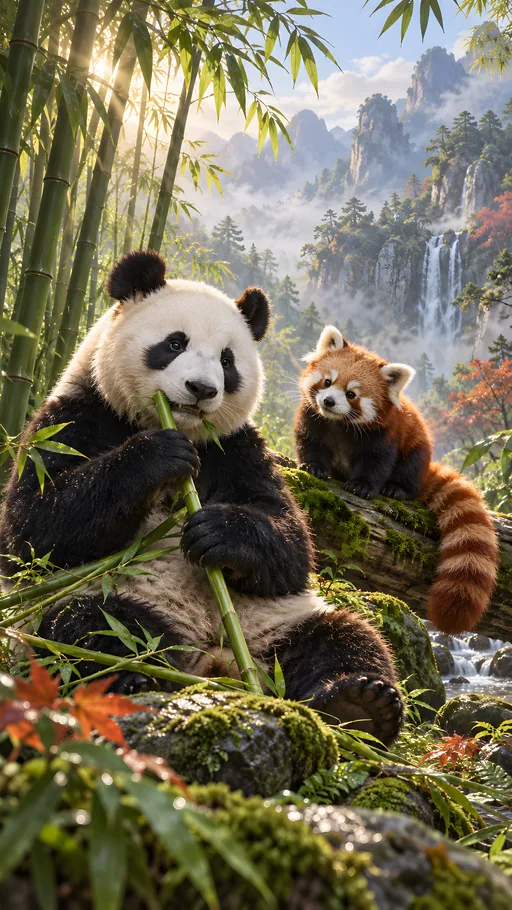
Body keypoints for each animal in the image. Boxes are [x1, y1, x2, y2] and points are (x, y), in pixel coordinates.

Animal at [0, 250, 404, 745]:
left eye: (227, 361)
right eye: (175, 343)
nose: (202, 389)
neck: (174, 425)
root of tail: (214, 663)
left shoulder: (235, 447)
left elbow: (290, 543)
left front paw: (218, 532)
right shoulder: (76, 414)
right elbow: (36, 526)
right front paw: (158, 457)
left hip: (273, 623)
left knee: (344, 638)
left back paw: (361, 703)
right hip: (110, 601)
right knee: (85, 629)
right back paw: (132, 677)